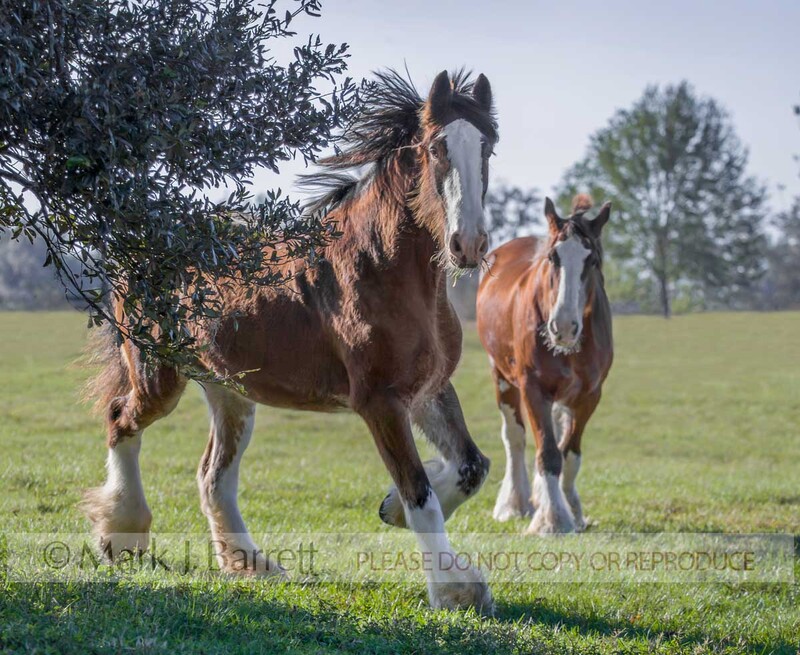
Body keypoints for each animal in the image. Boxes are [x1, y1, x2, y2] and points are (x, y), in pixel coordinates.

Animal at [81, 69, 498, 612]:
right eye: (436, 148)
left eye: (487, 147)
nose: (467, 244)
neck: (381, 268)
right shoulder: (380, 401)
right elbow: (420, 494)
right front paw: (454, 590)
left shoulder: (428, 389)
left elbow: (472, 466)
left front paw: (390, 511)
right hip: (158, 378)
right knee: (120, 422)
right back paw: (123, 534)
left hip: (231, 392)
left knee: (212, 476)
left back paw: (251, 565)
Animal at [476, 194, 613, 534]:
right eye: (553, 257)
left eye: (592, 260)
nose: (563, 327)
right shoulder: (533, 388)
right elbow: (548, 453)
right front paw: (553, 519)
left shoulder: (590, 395)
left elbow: (570, 454)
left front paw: (571, 510)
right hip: (501, 377)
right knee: (515, 437)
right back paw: (515, 503)